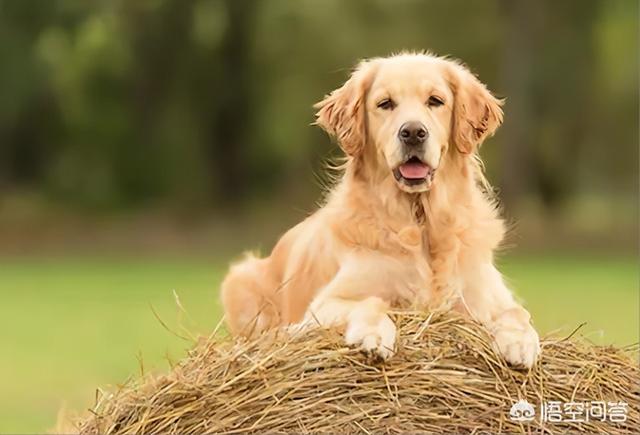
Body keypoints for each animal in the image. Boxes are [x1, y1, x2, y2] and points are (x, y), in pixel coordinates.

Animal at [220, 52, 540, 370]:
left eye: (435, 100)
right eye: (385, 103)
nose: (413, 133)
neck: (421, 222)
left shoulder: (486, 296)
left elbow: (517, 313)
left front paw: (521, 343)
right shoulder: (324, 304)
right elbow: (370, 302)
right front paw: (373, 335)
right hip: (241, 279)